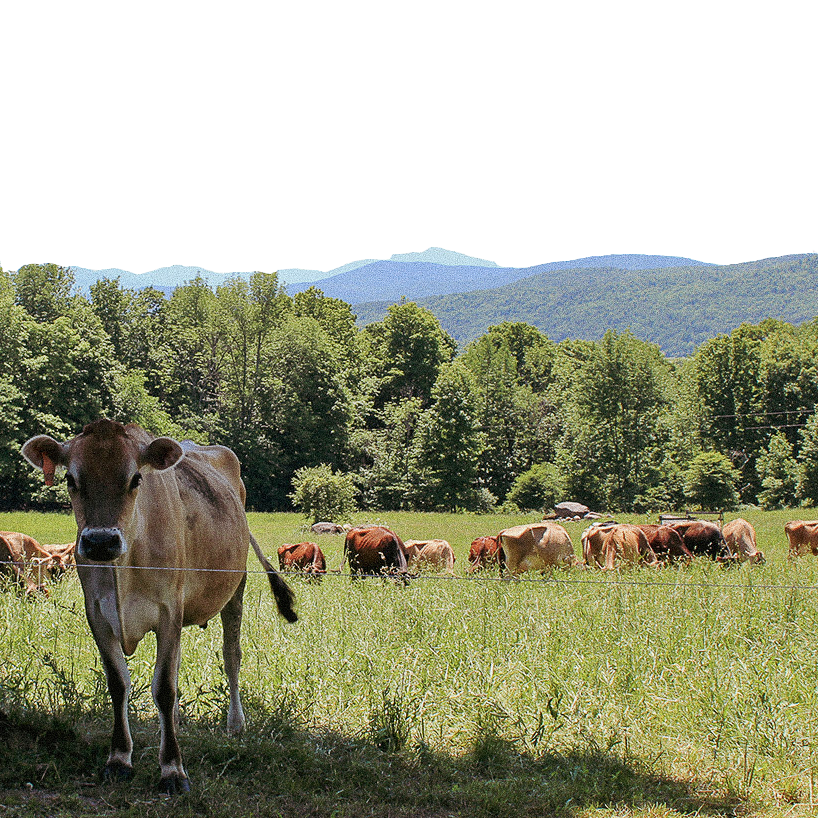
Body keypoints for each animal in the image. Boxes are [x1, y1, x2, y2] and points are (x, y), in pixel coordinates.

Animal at [21, 420, 296, 792]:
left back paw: (235, 723)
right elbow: (118, 683)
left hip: (234, 588)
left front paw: (172, 770)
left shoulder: (168, 613)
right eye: (71, 480)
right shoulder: (98, 616)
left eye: (136, 478)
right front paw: (119, 758)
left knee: (231, 656)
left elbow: (164, 688)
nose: (101, 541)